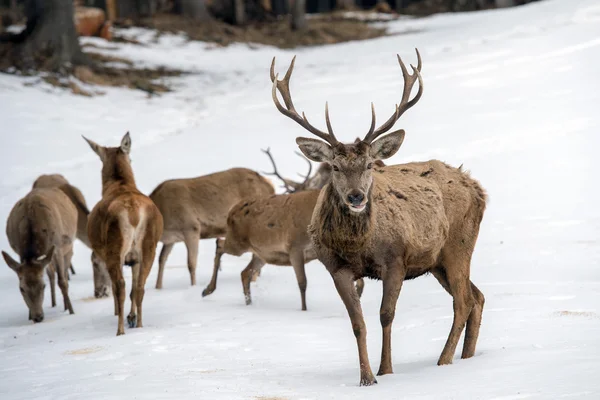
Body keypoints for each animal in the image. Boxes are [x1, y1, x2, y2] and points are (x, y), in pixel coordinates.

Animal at [1, 188, 77, 322]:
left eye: (43, 286)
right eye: (21, 288)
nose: (38, 317)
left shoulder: (57, 247)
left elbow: (62, 282)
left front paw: (71, 312)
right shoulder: (20, 252)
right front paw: (29, 316)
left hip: (68, 247)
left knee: (65, 273)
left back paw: (65, 306)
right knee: (51, 273)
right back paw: (53, 303)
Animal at [84, 133, 164, 336]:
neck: (120, 184)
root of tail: (133, 212)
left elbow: (115, 286)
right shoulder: (134, 259)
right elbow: (135, 287)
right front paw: (131, 316)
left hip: (114, 245)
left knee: (120, 285)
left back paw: (120, 330)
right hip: (149, 245)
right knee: (140, 286)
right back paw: (139, 323)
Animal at [204, 148, 368, 308]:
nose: (357, 198)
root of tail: (232, 211)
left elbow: (360, 281)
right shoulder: (295, 246)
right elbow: (302, 283)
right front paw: (304, 310)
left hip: (261, 253)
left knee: (245, 273)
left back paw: (248, 303)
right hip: (238, 242)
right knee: (220, 245)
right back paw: (208, 290)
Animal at [272, 49, 488, 384]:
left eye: (370, 164)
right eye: (335, 167)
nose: (356, 197)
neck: (357, 246)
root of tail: (477, 188)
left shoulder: (395, 259)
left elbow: (386, 315)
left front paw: (386, 370)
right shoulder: (336, 267)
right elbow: (357, 323)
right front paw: (366, 377)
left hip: (458, 245)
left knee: (463, 301)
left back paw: (444, 360)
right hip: (437, 261)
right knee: (476, 297)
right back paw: (466, 357)